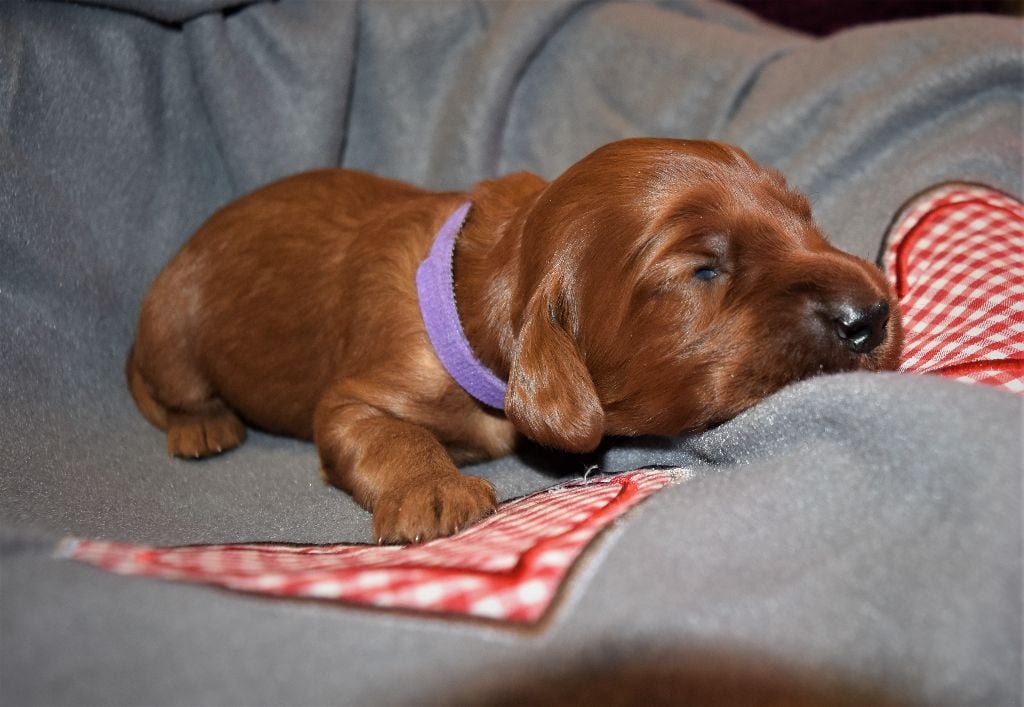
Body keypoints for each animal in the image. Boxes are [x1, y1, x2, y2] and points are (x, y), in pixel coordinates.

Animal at [127, 138, 902, 543]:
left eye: (803, 221)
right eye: (704, 269)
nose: (873, 314)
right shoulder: (358, 395)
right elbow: (385, 434)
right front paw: (432, 491)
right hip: (174, 329)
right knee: (179, 391)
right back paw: (204, 426)